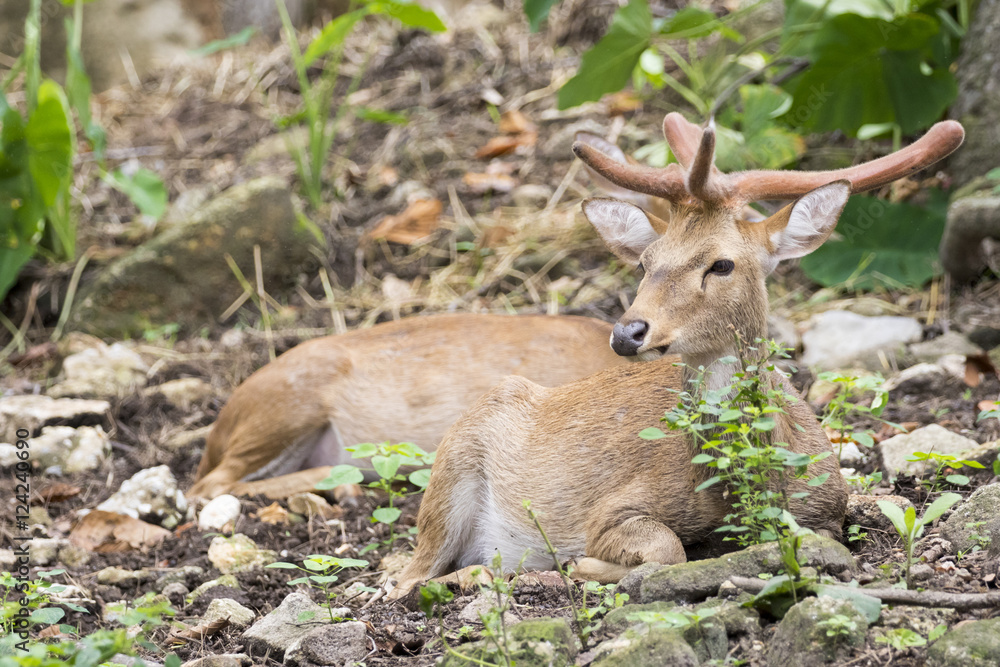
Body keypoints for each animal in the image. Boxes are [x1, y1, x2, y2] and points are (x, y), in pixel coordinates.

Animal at [388, 115, 960, 596]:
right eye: (645, 262)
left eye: (722, 264)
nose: (627, 333)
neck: (740, 491)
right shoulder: (611, 508)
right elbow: (667, 547)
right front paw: (582, 563)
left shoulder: (828, 506)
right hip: (451, 473)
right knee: (405, 578)